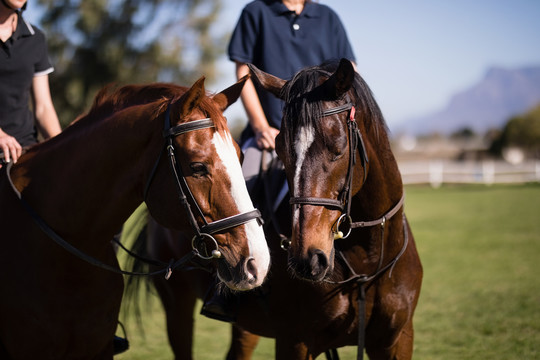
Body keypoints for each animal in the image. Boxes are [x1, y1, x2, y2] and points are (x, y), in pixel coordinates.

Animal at [132, 59, 422, 360]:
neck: (368, 258)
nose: (307, 259)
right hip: (177, 304)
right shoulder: (295, 342)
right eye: (280, 149)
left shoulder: (397, 340)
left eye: (338, 147)